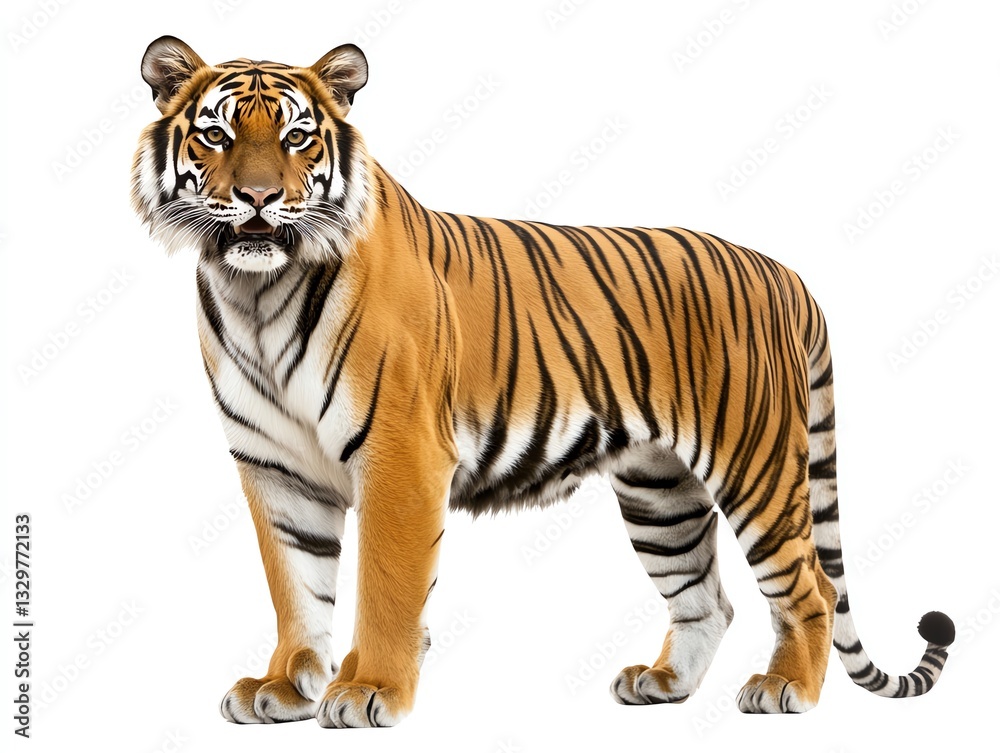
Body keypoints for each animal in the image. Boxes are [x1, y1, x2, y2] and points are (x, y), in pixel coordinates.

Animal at [131, 36, 955, 727]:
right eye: (216, 135)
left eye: (297, 137)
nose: (260, 198)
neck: (257, 294)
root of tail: (786, 274)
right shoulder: (275, 467)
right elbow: (297, 588)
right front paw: (284, 684)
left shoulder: (400, 456)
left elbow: (386, 588)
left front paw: (370, 690)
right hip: (660, 490)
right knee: (708, 597)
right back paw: (664, 684)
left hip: (756, 465)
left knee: (810, 585)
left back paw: (788, 688)